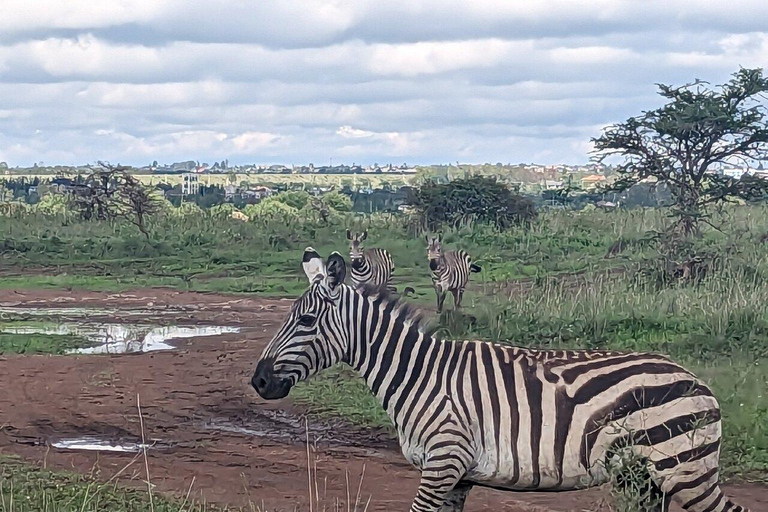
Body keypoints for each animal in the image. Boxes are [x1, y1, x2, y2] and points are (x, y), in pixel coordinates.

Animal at [252, 248, 752, 512]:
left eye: (307, 320)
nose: (258, 381)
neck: (418, 376)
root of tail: (696, 380)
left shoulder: (443, 463)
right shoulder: (456, 477)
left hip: (684, 470)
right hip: (649, 477)